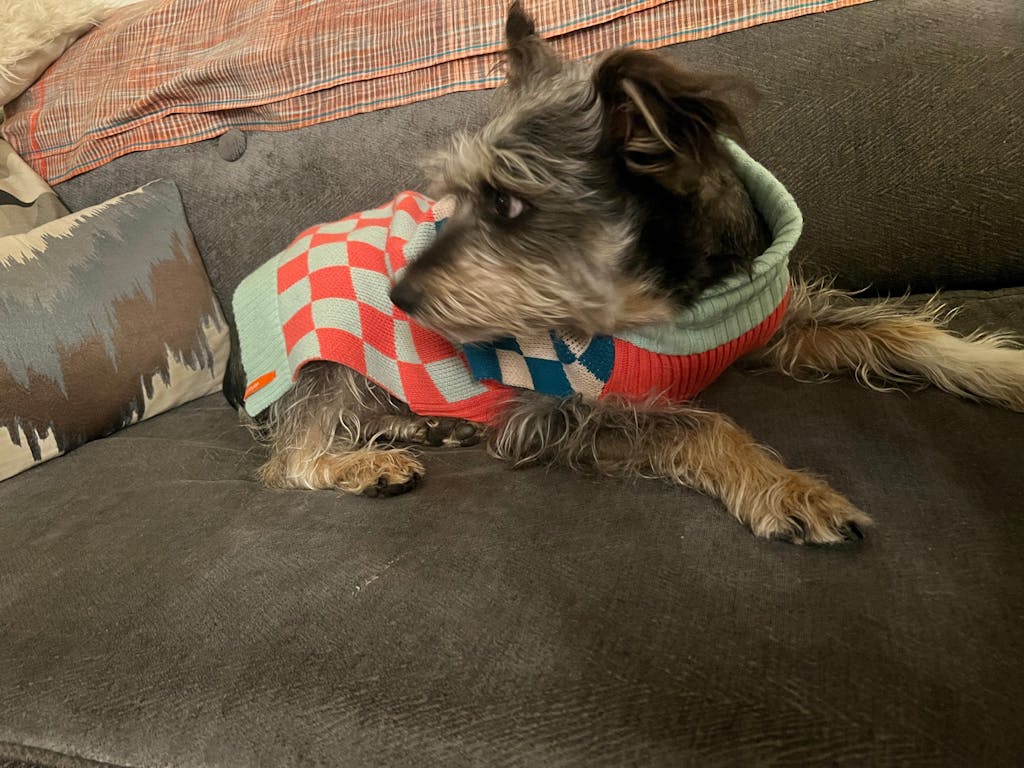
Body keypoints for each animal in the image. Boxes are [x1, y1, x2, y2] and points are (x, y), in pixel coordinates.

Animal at [231, 2, 1024, 545]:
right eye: (455, 197)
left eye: (508, 202)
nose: (400, 295)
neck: (684, 302)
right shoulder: (554, 411)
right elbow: (700, 422)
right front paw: (788, 489)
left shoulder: (774, 325)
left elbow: (898, 329)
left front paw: (1000, 370)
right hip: (324, 353)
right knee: (290, 459)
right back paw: (364, 464)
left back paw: (422, 427)